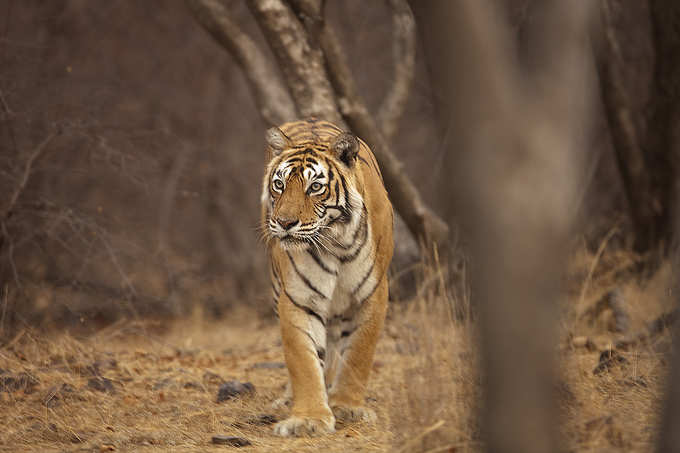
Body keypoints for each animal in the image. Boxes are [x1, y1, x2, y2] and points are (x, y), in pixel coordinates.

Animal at [262, 118, 398, 436]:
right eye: (279, 184)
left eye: (315, 187)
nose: (284, 223)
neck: (336, 243)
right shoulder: (298, 298)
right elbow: (302, 359)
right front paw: (309, 419)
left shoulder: (372, 295)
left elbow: (359, 353)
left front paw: (347, 407)